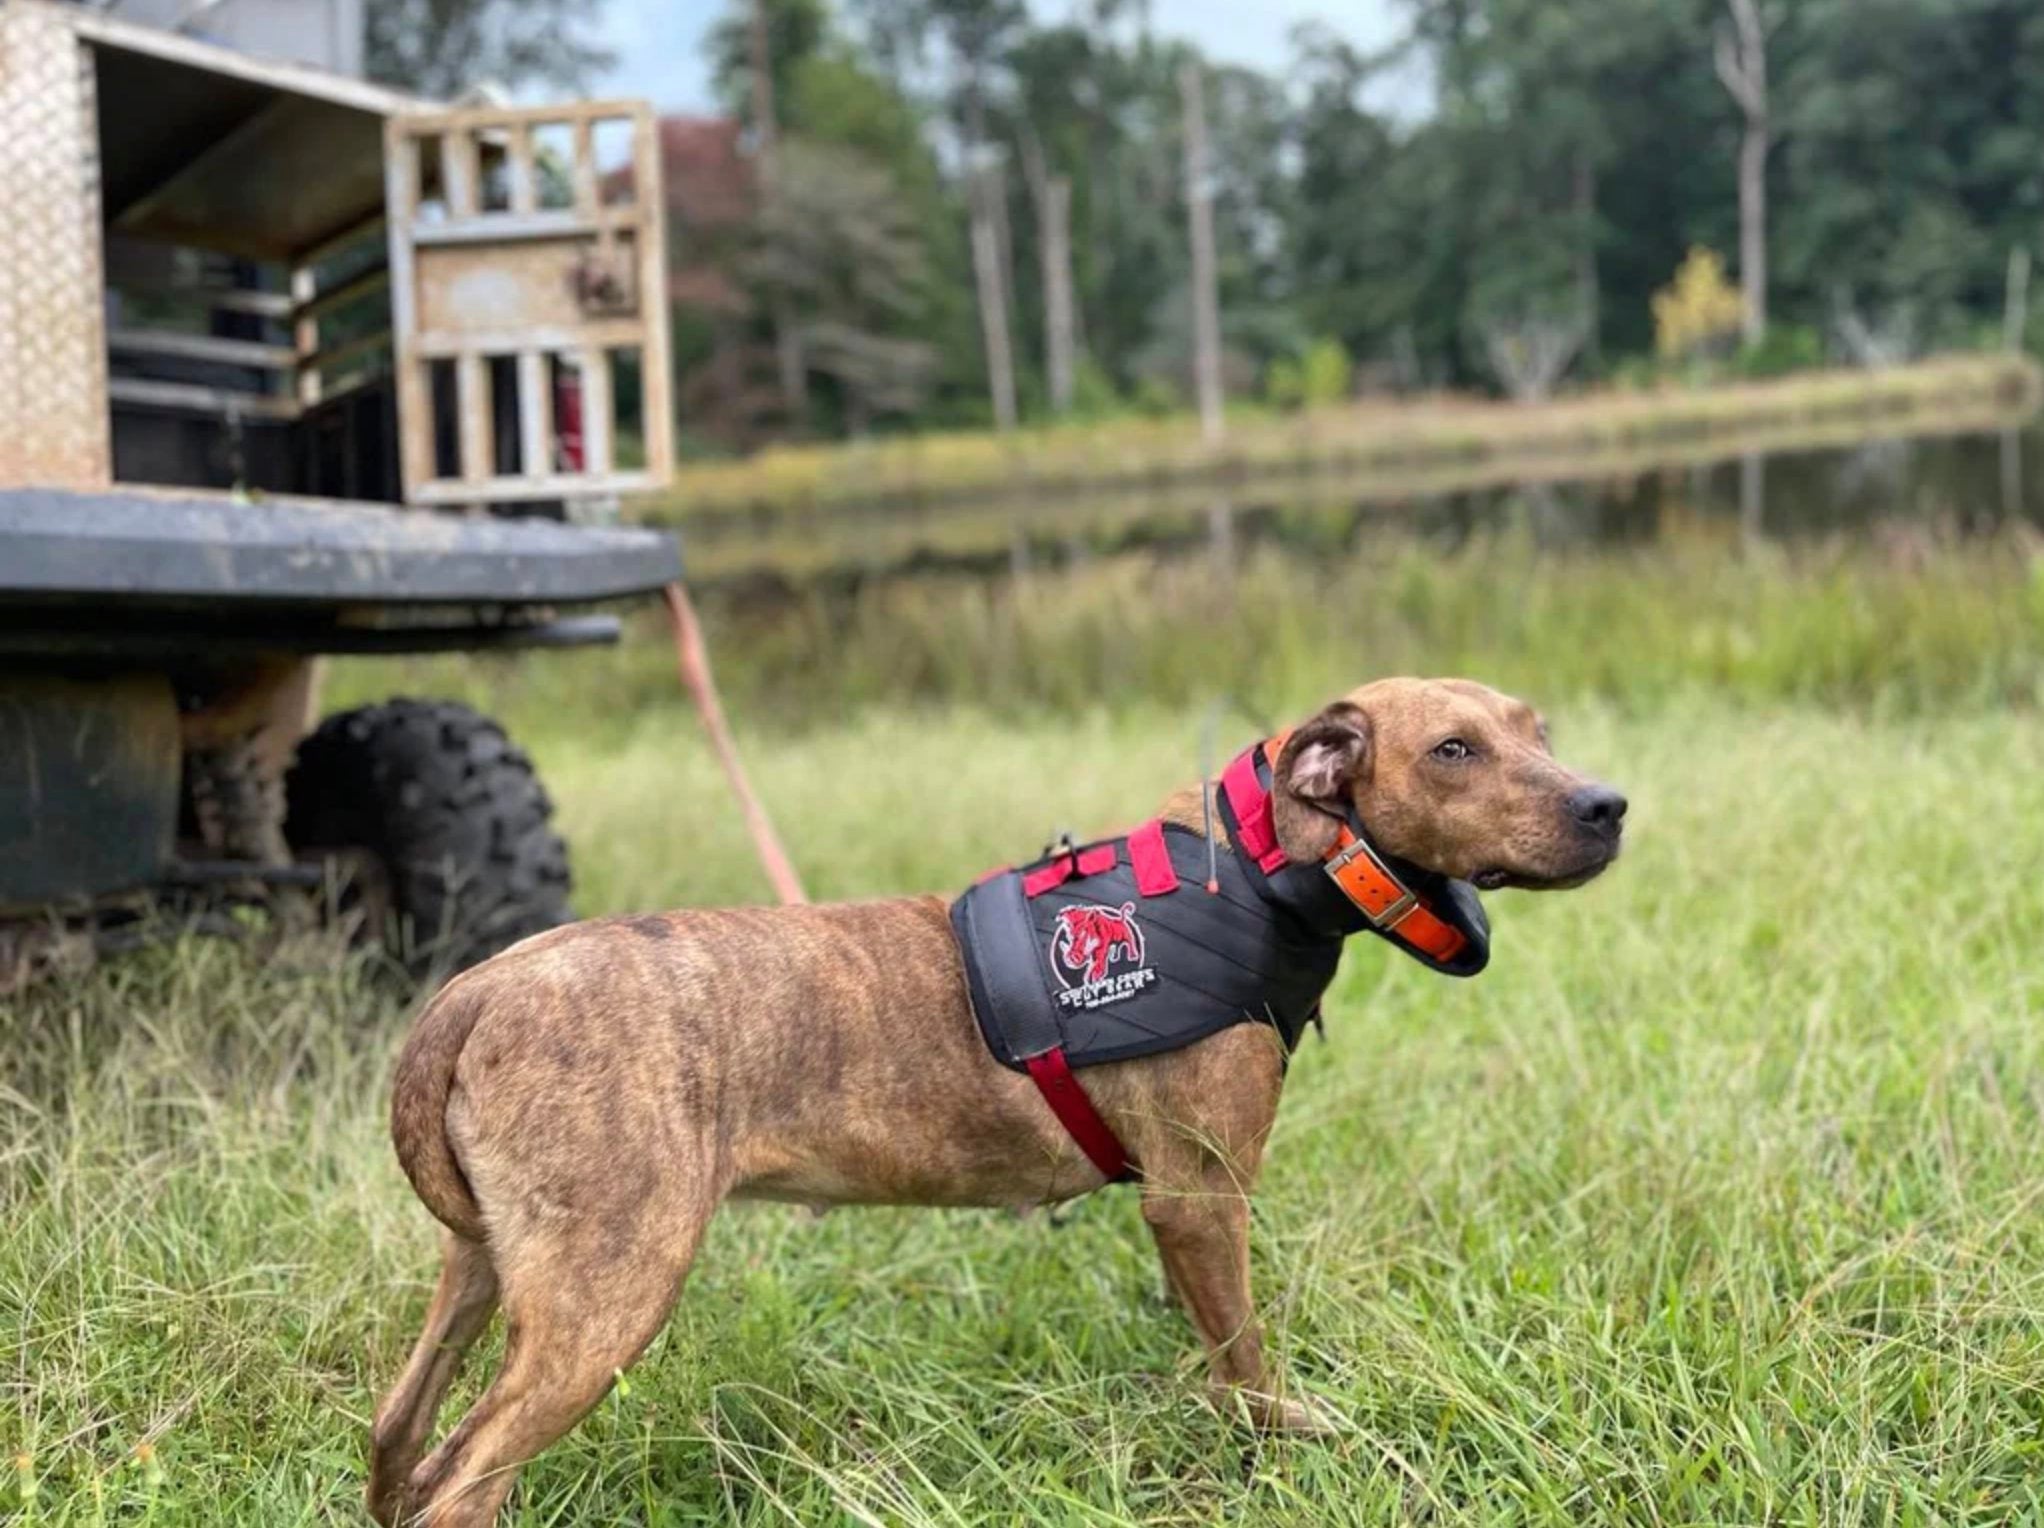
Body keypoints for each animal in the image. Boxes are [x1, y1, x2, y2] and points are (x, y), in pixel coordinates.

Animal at [367, 682, 1627, 1527]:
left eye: (1538, 731)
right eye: (1453, 749)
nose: (1608, 803)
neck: (1263, 875)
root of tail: (471, 992)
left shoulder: (1180, 1216)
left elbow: (1214, 1350)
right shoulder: (1199, 1197)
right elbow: (1251, 1371)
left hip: (489, 1272)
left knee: (400, 1435)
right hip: (608, 1292)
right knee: (463, 1481)